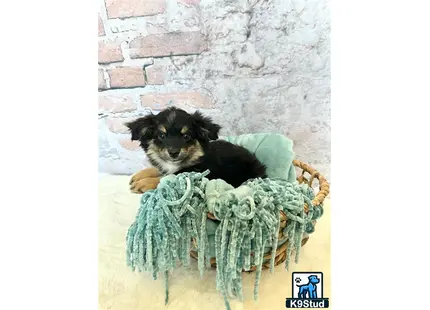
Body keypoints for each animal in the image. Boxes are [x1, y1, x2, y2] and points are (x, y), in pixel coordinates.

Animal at [125, 107, 266, 194]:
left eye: (187, 136)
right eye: (161, 135)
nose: (174, 152)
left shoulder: (200, 174)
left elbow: (169, 177)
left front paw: (143, 183)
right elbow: (160, 170)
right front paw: (139, 175)